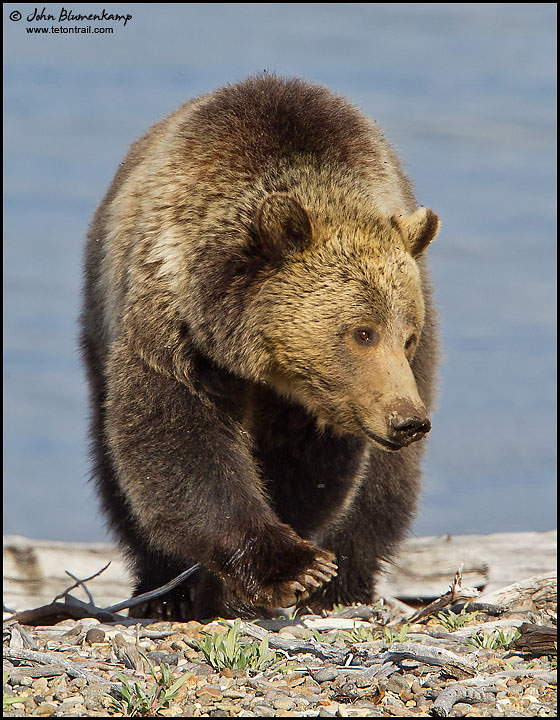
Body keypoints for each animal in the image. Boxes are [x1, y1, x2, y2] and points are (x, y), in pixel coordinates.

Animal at [80, 73, 440, 620]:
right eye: (362, 331)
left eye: (406, 335)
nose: (407, 420)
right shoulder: (176, 325)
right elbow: (178, 443)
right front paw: (287, 567)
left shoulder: (325, 402)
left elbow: (311, 473)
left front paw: (301, 569)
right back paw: (164, 591)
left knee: (383, 491)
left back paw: (344, 587)